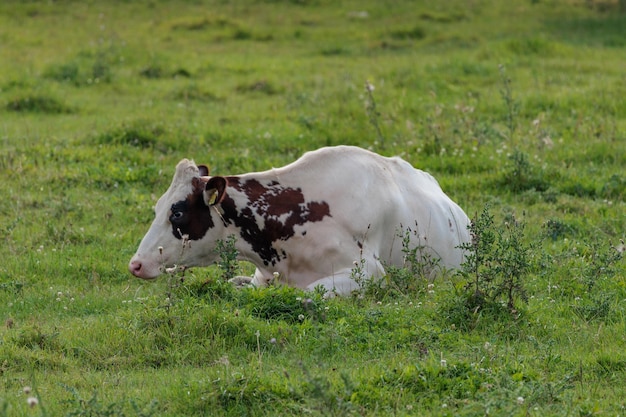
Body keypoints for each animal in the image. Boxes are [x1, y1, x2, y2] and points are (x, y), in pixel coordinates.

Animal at [128, 146, 468, 296]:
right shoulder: (260, 277)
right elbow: (236, 284)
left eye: (177, 212)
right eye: (158, 207)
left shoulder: (368, 272)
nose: (136, 264)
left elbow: (305, 293)